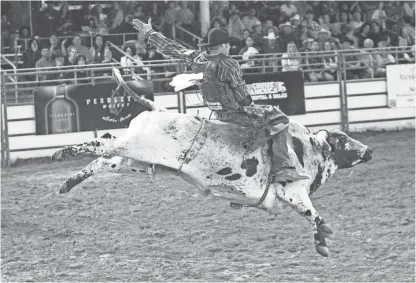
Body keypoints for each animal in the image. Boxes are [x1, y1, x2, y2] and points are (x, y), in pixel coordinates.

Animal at [51, 69, 374, 258]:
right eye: (342, 138)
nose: (369, 150)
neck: (306, 148)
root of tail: (159, 109)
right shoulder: (292, 190)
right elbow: (313, 213)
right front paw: (323, 237)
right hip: (137, 145)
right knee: (104, 141)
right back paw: (60, 155)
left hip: (137, 160)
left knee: (103, 161)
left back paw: (66, 183)